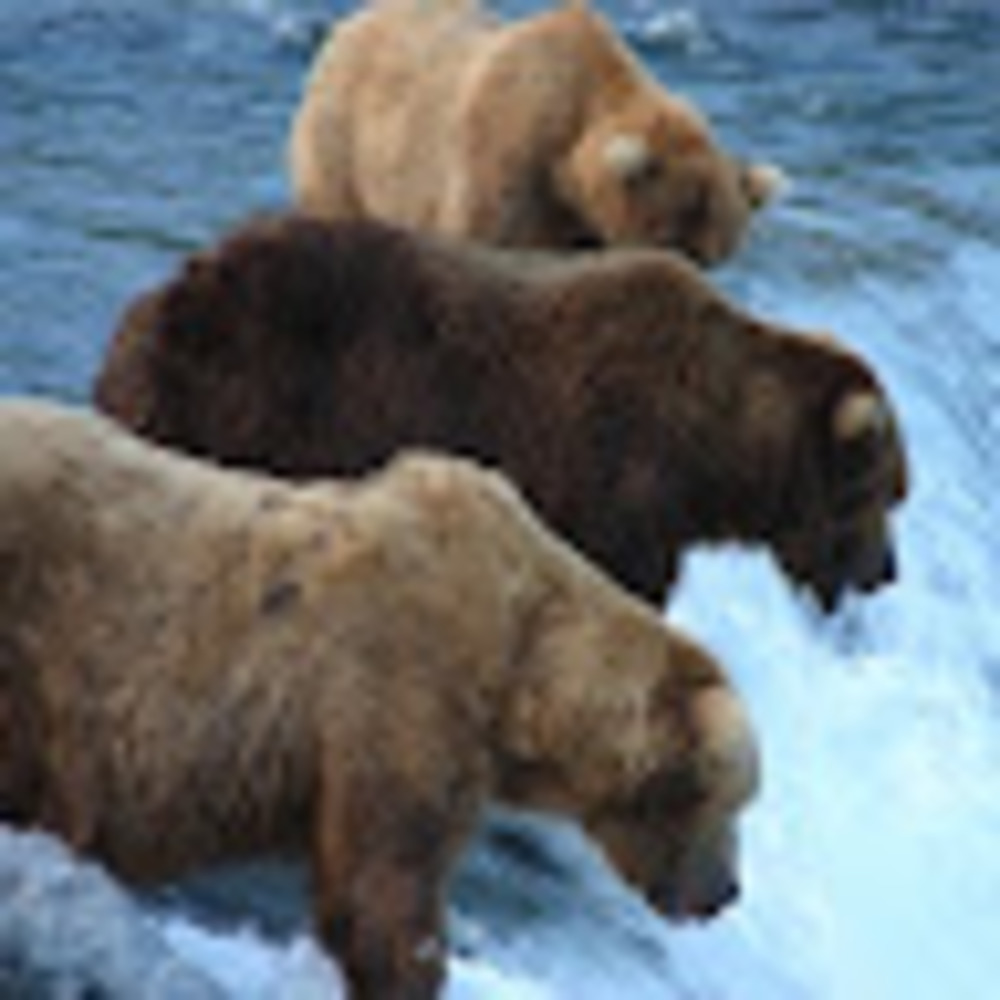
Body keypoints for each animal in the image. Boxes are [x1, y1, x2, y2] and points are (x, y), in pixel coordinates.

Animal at [0, 398, 759, 1000]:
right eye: (731, 800)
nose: (725, 894)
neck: (519, 671)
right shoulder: (398, 689)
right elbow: (386, 883)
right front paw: (408, 971)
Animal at [94, 214, 909, 612]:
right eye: (884, 493)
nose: (887, 573)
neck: (711, 445)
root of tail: (158, 302)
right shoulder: (610, 475)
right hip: (252, 396)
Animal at [288, 0, 783, 265]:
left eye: (712, 256)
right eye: (668, 238)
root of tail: (351, 23)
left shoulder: (579, 231)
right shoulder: (504, 166)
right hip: (343, 144)